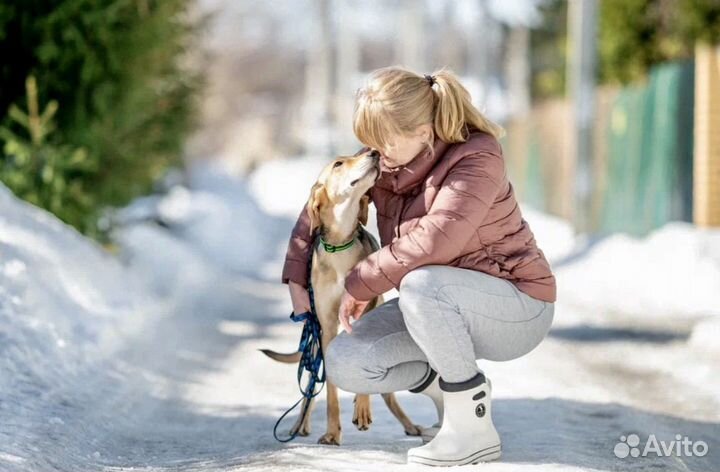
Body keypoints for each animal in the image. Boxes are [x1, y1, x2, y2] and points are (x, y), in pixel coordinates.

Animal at [262, 149, 422, 444]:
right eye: (338, 164)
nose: (374, 152)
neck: (340, 246)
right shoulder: (326, 327)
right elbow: (329, 391)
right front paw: (331, 433)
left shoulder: (362, 316)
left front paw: (362, 409)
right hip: (313, 341)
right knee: (311, 387)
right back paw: (299, 424)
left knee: (387, 393)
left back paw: (410, 425)